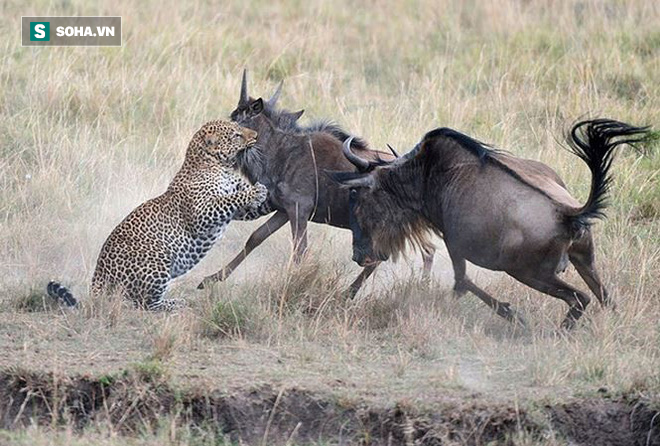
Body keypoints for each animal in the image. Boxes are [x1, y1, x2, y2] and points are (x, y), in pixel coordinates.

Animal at [46, 120, 270, 312]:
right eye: (236, 135)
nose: (256, 135)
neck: (219, 166)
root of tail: (97, 278)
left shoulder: (239, 210)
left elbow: (250, 205)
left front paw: (265, 192)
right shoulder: (201, 213)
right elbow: (228, 200)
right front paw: (255, 191)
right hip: (158, 257)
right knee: (144, 303)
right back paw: (177, 303)